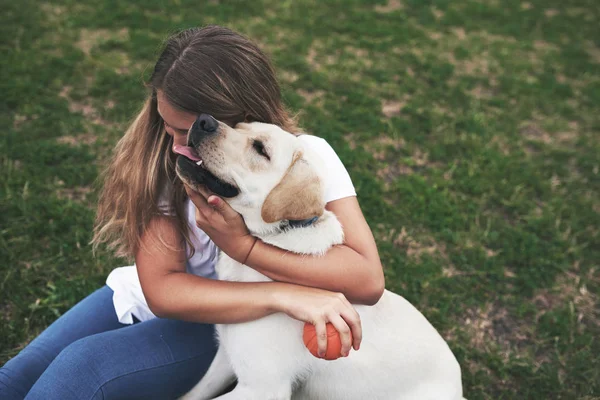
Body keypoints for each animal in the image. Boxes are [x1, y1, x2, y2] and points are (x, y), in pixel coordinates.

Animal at [175, 114, 464, 400]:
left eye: (260, 149)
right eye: (238, 126)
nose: (203, 120)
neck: (275, 236)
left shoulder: (262, 387)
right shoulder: (227, 357)